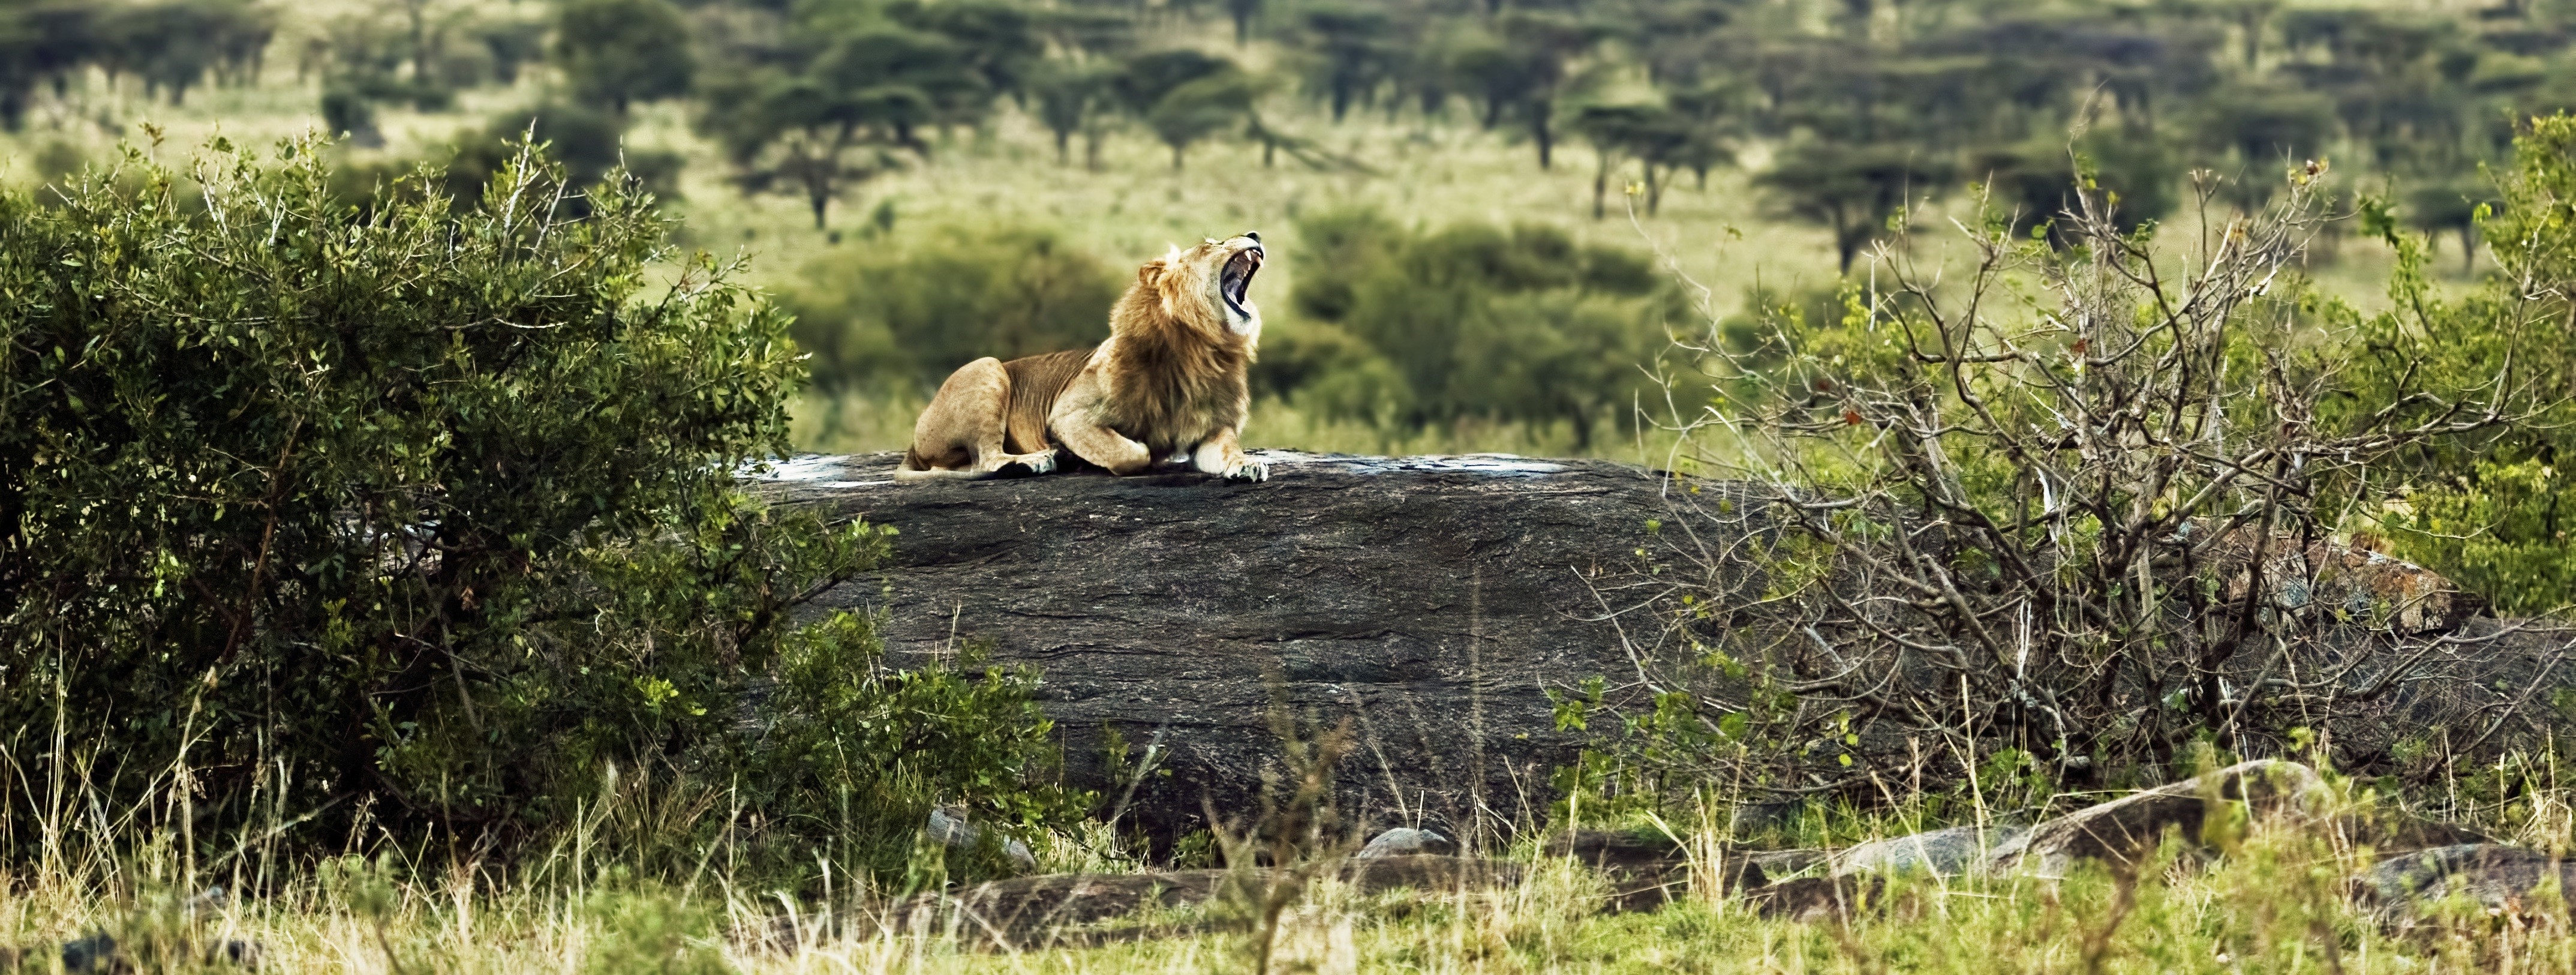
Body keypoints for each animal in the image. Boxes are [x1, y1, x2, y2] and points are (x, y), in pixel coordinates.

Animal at [895, 232, 1270, 483]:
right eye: (1212, 244)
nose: (1254, 234)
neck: (1199, 349)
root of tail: (913, 443)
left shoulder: (1210, 429)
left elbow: (1229, 447)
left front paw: (1247, 464)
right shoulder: (1069, 417)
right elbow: (1134, 452)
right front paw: (1079, 454)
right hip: (987, 367)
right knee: (986, 459)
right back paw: (1037, 460)